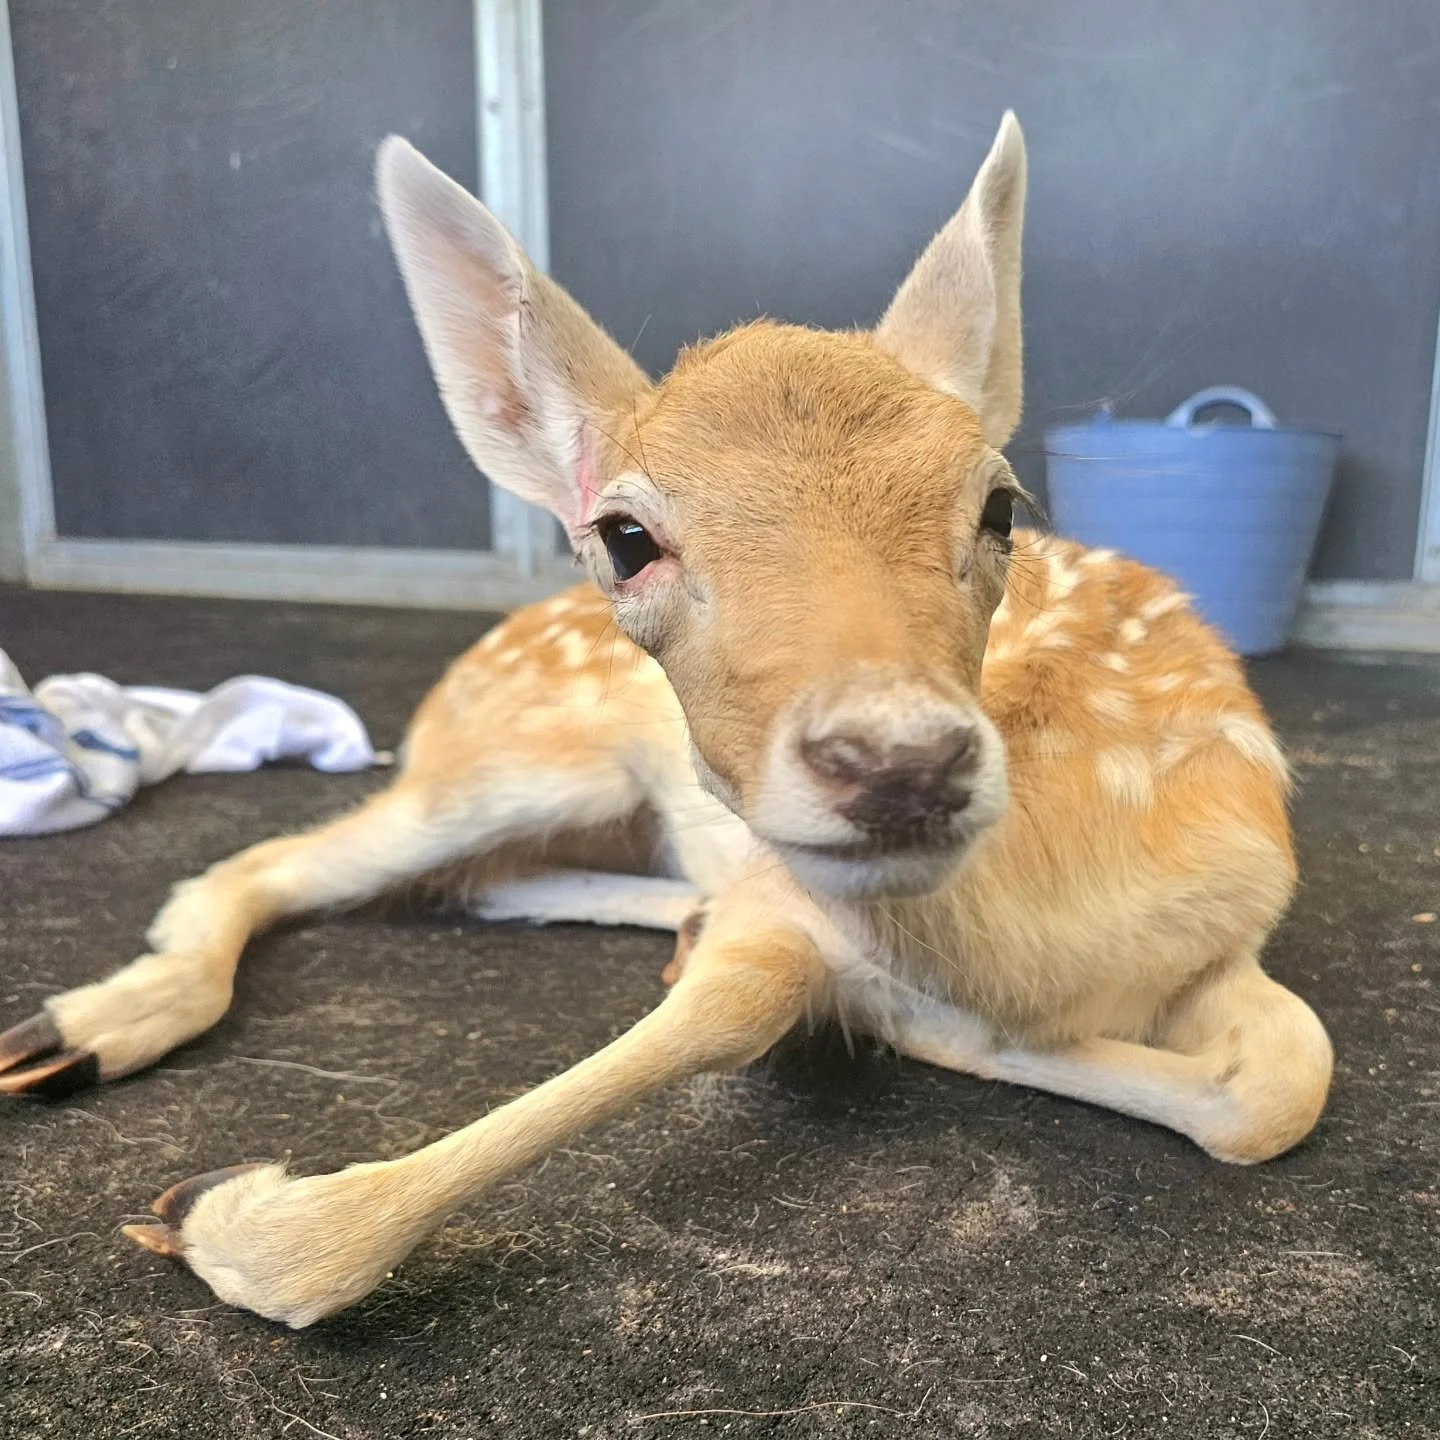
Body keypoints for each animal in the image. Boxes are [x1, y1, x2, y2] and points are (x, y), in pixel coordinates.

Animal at [0, 114, 1333, 1328]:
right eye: (627, 536)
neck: (1038, 938)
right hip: (519, 759)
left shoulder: (1233, 906)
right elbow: (744, 999)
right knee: (268, 859)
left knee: (473, 882)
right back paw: (83, 1026)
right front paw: (220, 1217)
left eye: (1003, 503)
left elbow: (1282, 1083)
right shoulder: (787, 893)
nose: (899, 763)